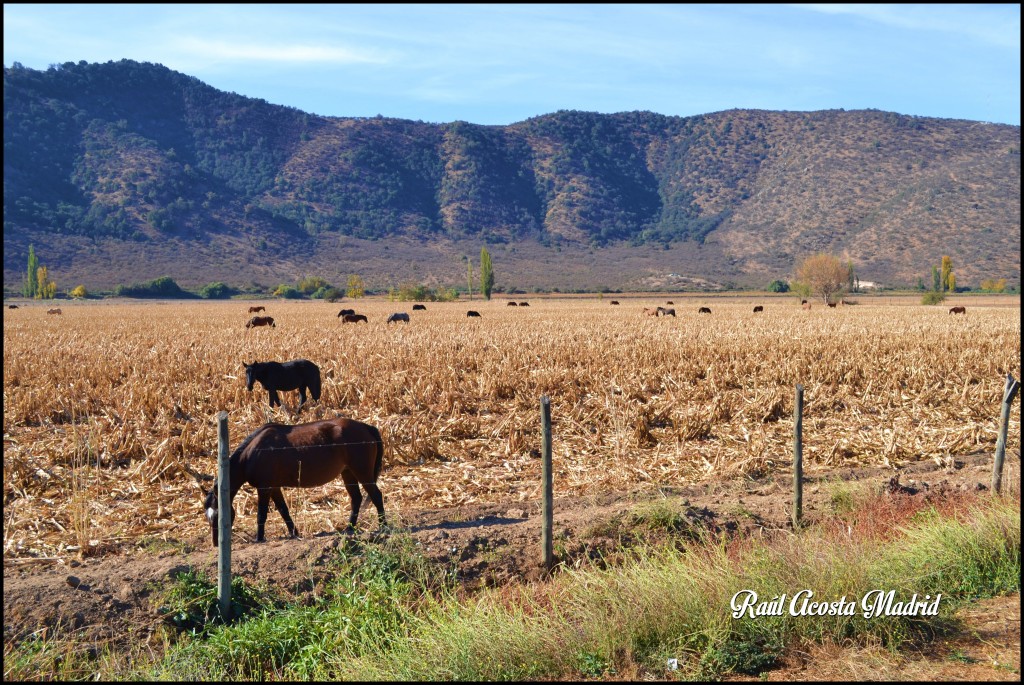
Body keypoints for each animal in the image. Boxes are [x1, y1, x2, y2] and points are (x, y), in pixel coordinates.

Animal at [201, 411, 385, 544]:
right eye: (207, 517)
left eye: (218, 516)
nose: (216, 544)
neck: (252, 454)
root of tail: (366, 427)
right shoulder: (274, 488)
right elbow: (284, 511)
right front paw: (294, 533)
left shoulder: (264, 488)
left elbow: (261, 515)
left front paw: (259, 538)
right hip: (348, 473)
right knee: (356, 498)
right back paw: (349, 528)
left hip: (362, 472)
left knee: (376, 495)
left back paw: (383, 525)